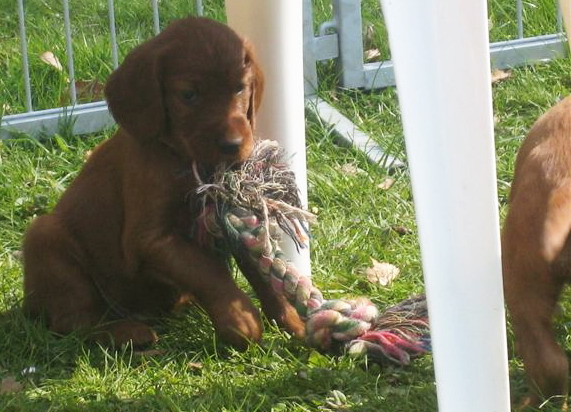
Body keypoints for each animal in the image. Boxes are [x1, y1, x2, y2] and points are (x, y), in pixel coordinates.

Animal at [22, 16, 305, 349]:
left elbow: (261, 270)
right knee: (74, 323)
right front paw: (239, 317)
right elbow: (205, 269)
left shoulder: (232, 219)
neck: (184, 159)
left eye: (239, 88)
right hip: (45, 237)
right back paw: (129, 332)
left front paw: (296, 323)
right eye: (189, 95)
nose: (233, 145)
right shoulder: (150, 239)